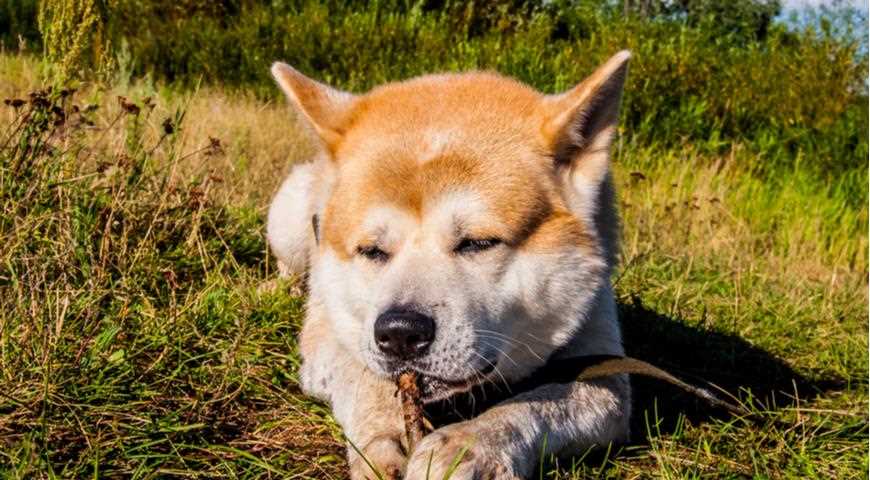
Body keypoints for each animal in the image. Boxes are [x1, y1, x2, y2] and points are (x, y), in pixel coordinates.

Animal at [266, 50, 632, 478]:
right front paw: (384, 434)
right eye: (372, 251)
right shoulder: (328, 330)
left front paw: (470, 445)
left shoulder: (606, 366)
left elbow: (542, 400)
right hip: (290, 222)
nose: (400, 332)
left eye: (477, 243)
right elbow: (364, 377)